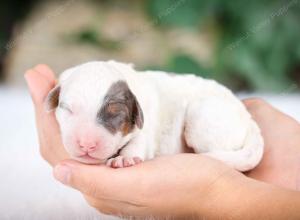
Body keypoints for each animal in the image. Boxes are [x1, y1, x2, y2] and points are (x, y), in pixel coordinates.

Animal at [45, 60, 262, 172]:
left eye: (115, 114)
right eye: (67, 109)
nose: (87, 144)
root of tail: (248, 119)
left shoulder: (145, 125)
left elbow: (139, 141)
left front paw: (125, 158)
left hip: (203, 115)